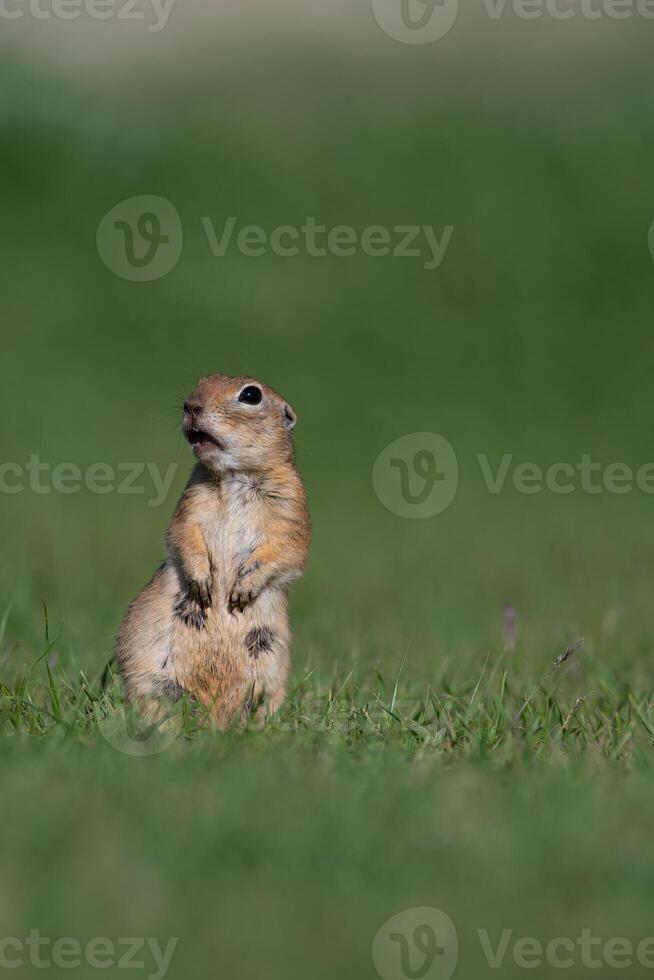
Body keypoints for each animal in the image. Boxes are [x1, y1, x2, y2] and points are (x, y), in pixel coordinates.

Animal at [116, 376, 312, 728]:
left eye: (252, 394)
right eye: (202, 381)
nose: (190, 404)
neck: (236, 475)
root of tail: (215, 721)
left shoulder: (292, 504)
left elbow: (288, 549)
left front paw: (242, 591)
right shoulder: (191, 501)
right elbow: (184, 532)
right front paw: (202, 583)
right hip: (150, 676)